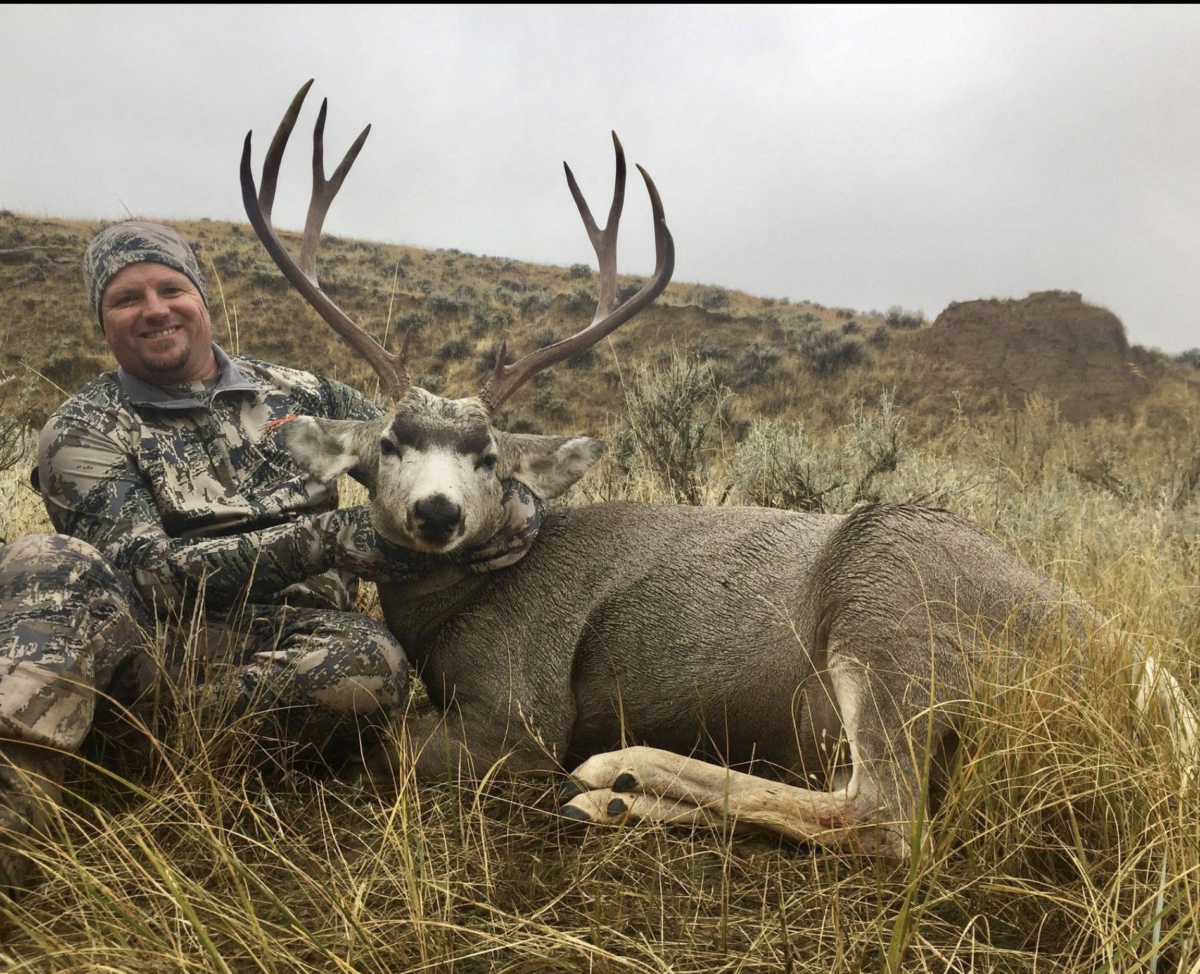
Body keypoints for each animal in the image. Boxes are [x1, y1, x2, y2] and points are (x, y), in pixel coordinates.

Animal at [239, 82, 1197, 860]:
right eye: (389, 444)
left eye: (489, 457)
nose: (436, 513)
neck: (458, 606)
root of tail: (1141, 680)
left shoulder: (518, 711)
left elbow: (386, 745)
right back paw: (616, 799)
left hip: (889, 600)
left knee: (884, 818)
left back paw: (617, 772)